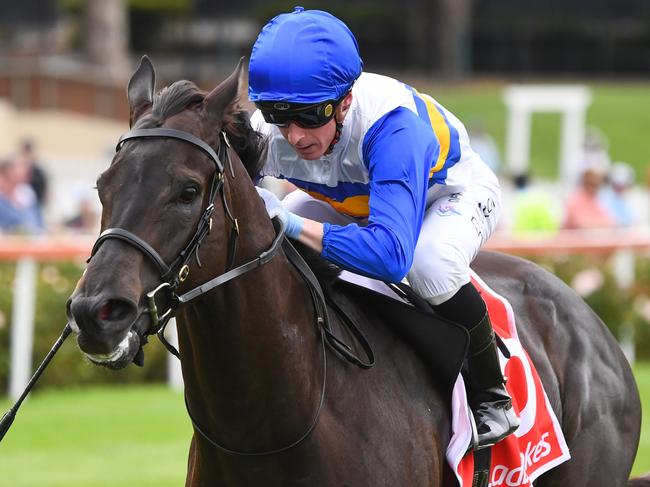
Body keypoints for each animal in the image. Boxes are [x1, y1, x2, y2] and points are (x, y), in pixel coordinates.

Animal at [66, 58, 644, 487]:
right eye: (101, 185)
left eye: (187, 191)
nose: (96, 312)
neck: (276, 426)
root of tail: (592, 325)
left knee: (434, 270)